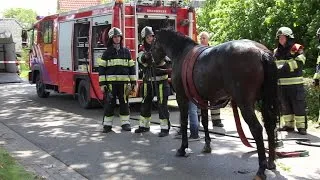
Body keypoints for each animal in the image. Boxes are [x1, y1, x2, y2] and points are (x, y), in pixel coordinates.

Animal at [151, 28, 278, 180]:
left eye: (152, 42)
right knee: (270, 125)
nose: (149, 58)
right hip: (263, 100)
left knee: (257, 129)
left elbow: (184, 121)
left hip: (245, 103)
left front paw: (182, 148)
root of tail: (260, 52)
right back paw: (271, 162)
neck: (181, 52)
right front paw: (207, 145)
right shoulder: (202, 99)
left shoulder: (182, 97)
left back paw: (261, 169)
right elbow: (205, 121)